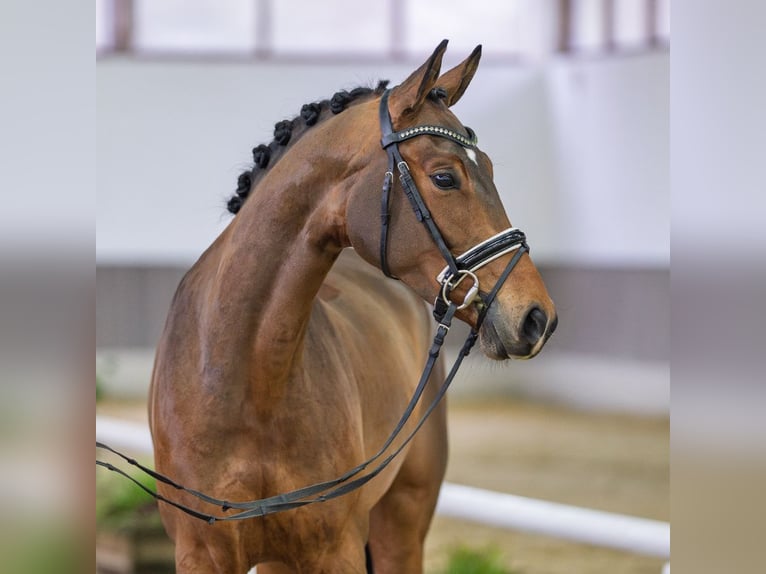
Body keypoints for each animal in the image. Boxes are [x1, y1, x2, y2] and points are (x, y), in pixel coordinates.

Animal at [148, 40, 557, 573]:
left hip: (401, 522)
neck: (244, 379)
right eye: (445, 177)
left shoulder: (334, 549)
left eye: (487, 167)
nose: (537, 317)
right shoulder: (202, 555)